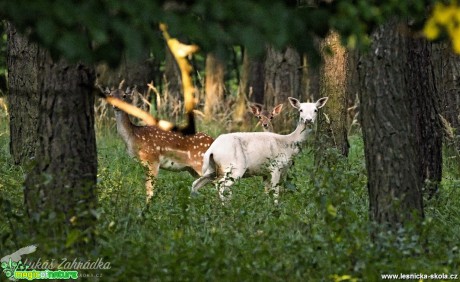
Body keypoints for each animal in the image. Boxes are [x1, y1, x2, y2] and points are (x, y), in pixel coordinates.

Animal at [190, 97, 328, 203]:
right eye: (300, 110)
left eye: (315, 110)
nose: (308, 120)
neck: (288, 144)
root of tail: (212, 150)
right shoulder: (276, 167)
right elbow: (276, 191)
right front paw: (276, 208)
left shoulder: (268, 172)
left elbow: (267, 191)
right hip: (234, 167)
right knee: (221, 186)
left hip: (211, 168)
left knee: (196, 184)